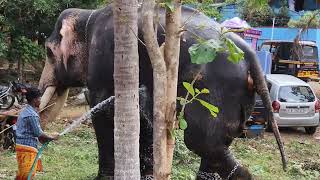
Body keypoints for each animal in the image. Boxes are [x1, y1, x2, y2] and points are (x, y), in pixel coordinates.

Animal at [38, 3, 286, 180]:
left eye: (49, 52)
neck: (88, 16)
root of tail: (250, 53)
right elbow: (145, 115)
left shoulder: (103, 62)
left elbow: (102, 107)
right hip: (240, 96)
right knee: (216, 143)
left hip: (216, 90)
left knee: (200, 141)